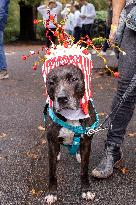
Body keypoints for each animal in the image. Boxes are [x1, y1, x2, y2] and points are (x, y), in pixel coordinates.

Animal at [44, 63, 96, 203]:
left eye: (73, 79)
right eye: (51, 82)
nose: (62, 98)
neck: (71, 115)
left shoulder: (87, 141)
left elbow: (84, 170)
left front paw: (86, 190)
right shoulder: (51, 141)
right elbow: (52, 172)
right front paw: (52, 193)